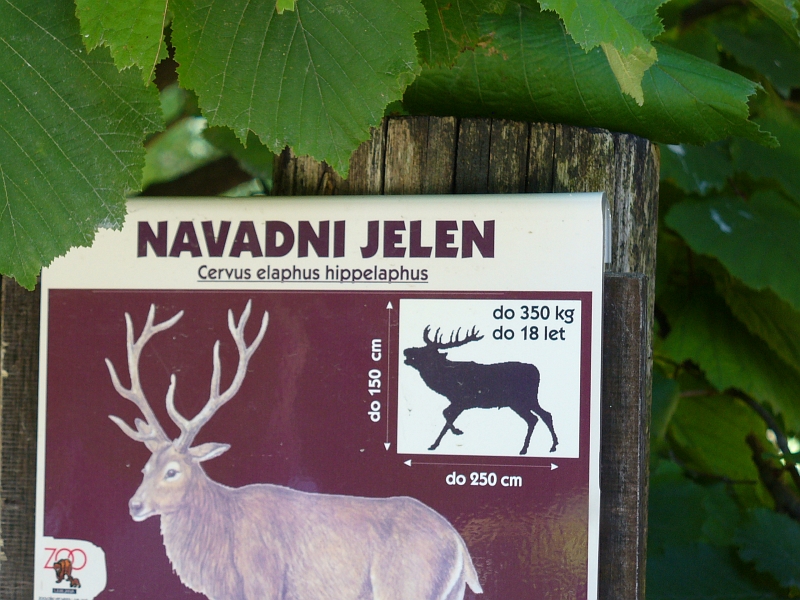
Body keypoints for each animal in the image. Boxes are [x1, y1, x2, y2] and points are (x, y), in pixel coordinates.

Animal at [106, 301, 482, 600]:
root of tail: (459, 545)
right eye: (145, 468)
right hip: (450, 593)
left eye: (173, 471)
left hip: (407, 587)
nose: (134, 505)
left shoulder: (265, 583)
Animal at [403, 326, 558, 455]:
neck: (446, 383)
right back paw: (552, 445)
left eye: (427, 353)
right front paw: (434, 445)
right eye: (422, 347)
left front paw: (457, 431)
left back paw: (526, 448)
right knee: (543, 415)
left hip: (521, 400)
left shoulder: (463, 401)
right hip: (525, 401)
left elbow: (446, 414)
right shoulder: (458, 402)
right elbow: (447, 417)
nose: (406, 350)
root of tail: (536, 371)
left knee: (535, 418)